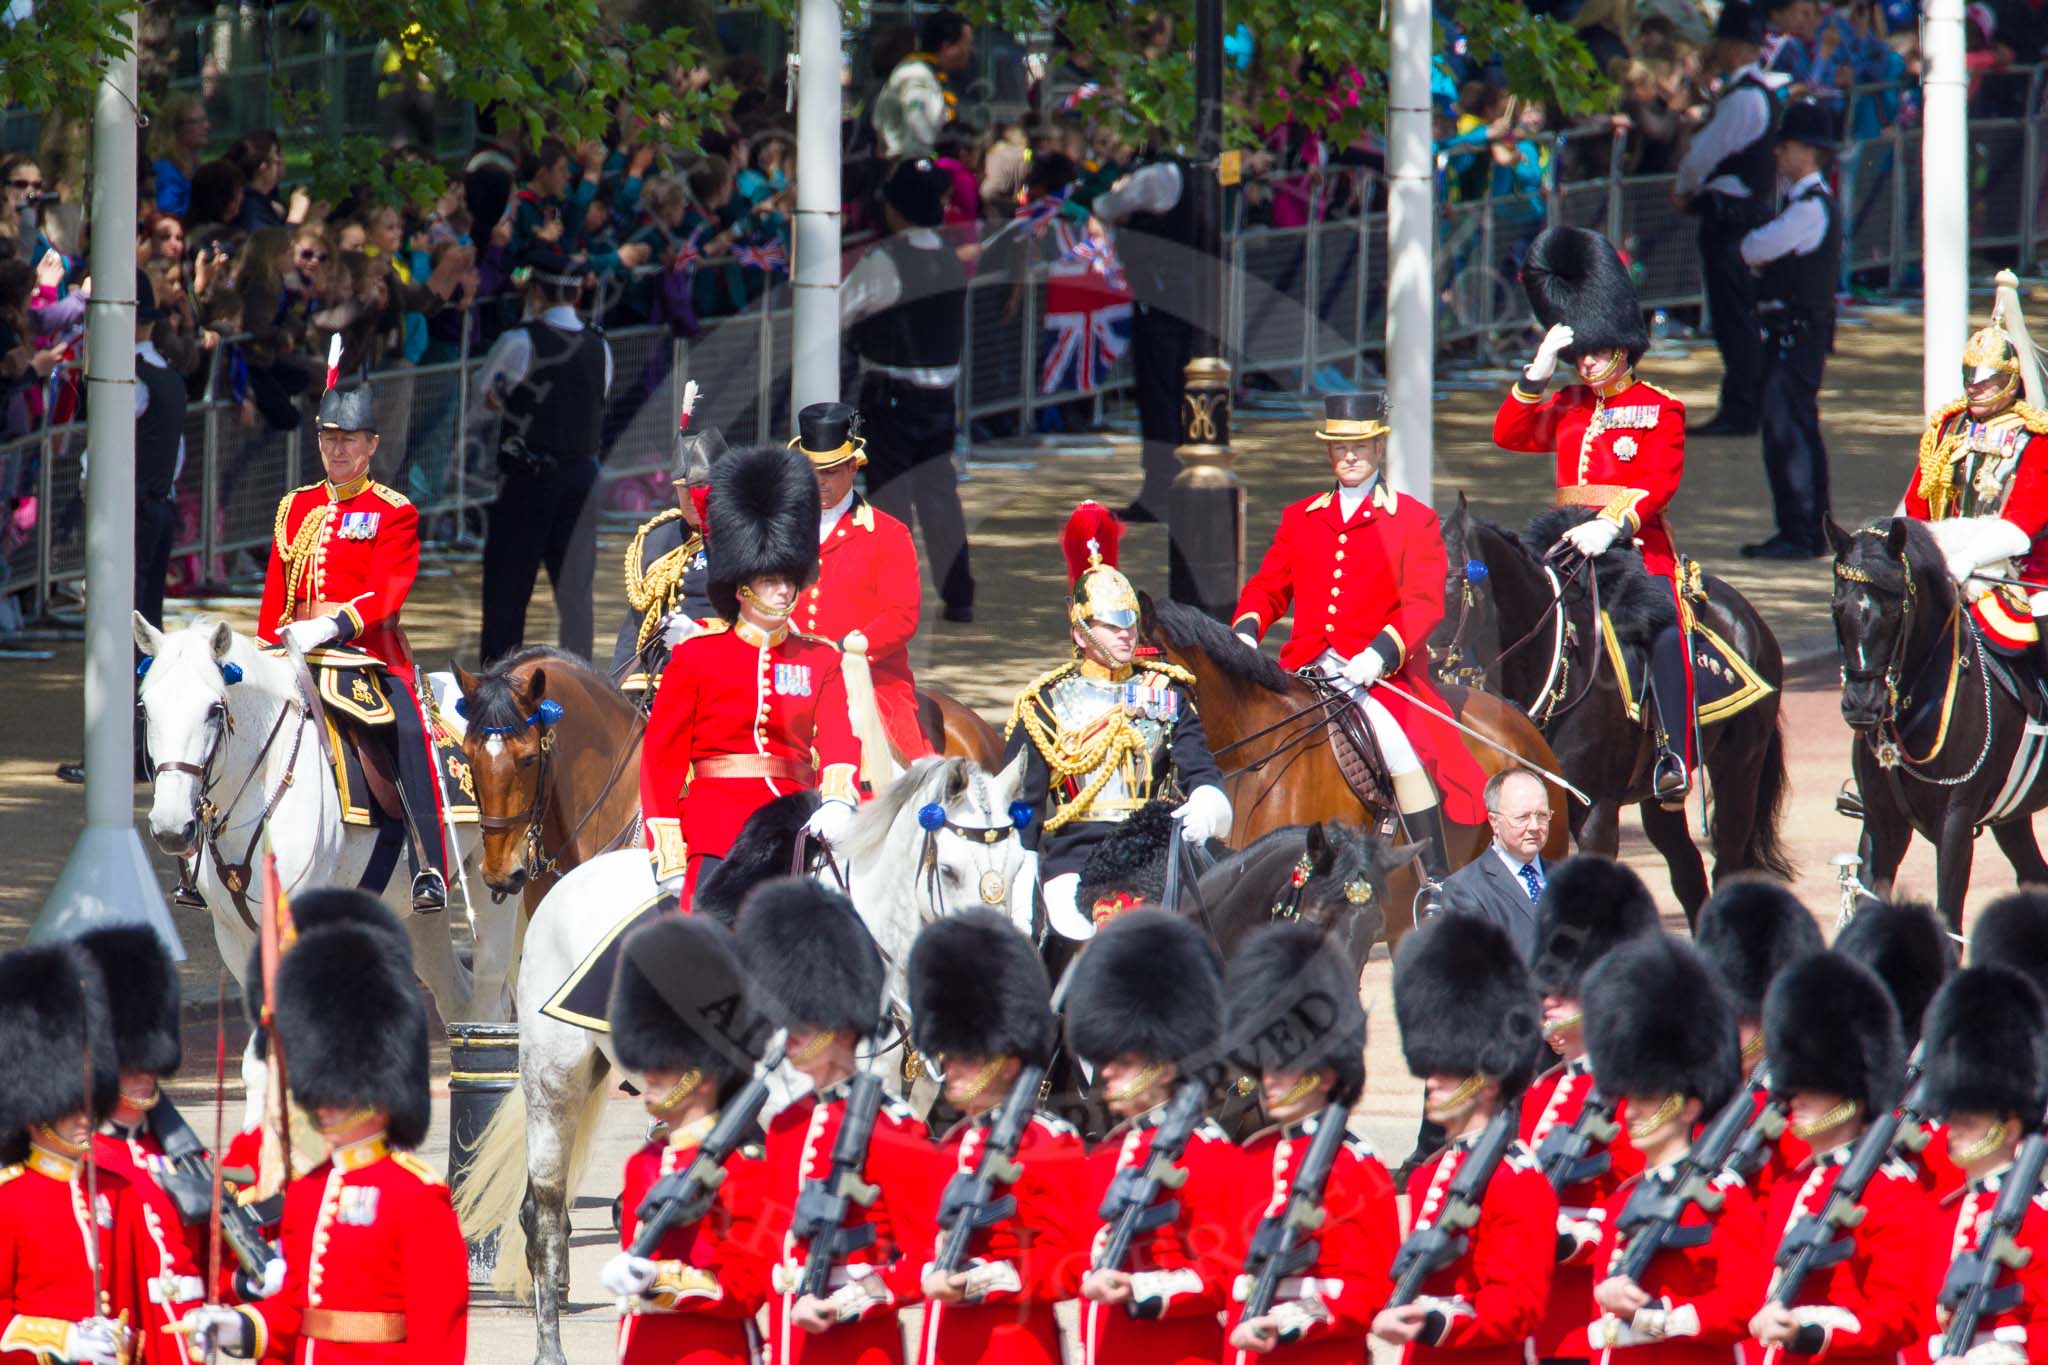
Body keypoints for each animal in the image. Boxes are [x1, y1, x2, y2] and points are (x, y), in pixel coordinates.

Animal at [133, 618, 512, 1023]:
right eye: (146, 709)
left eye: (214, 710)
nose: (171, 828)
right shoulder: (233, 935)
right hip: (419, 914)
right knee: (458, 997)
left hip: (495, 889)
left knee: (490, 1002)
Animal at [466, 753, 1040, 1365]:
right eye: (949, 870)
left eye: (1017, 866)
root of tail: (567, 885)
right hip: (555, 1078)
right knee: (546, 1214)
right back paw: (552, 1345)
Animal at [1433, 493, 1785, 929]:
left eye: (1450, 590)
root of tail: (1747, 614)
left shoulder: (1595, 809)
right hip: (1660, 794)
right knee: (1687, 869)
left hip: (1739, 767)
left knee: (1727, 866)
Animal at [1826, 517, 2048, 933]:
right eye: (1837, 607)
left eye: (1894, 610)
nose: (1862, 705)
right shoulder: (1882, 824)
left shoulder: (1956, 820)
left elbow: (1949, 918)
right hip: (2011, 817)